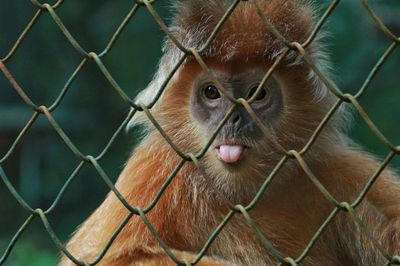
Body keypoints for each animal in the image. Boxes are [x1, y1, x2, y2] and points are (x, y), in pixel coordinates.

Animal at [59, 0, 400, 266]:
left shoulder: (337, 173)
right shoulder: (157, 169)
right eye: (212, 92)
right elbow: (104, 257)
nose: (234, 117)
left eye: (257, 94)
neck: (242, 193)